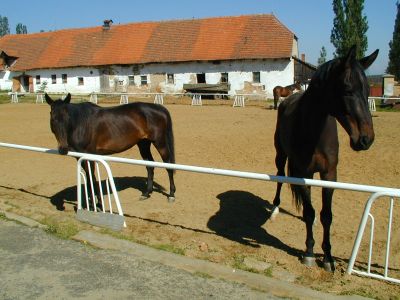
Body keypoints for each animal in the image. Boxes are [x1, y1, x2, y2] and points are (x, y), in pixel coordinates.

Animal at [44, 95, 176, 205]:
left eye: (67, 117)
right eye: (53, 119)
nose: (63, 149)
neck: (81, 123)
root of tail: (159, 108)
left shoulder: (90, 155)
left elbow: (92, 178)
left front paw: (98, 203)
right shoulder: (80, 157)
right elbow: (88, 178)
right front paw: (91, 202)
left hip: (159, 142)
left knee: (168, 165)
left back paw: (171, 195)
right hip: (143, 143)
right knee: (149, 166)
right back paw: (146, 193)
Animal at [270, 45, 380, 274]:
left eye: (367, 91)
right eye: (347, 90)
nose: (366, 139)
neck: (314, 131)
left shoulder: (329, 174)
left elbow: (326, 215)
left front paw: (328, 258)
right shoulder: (303, 174)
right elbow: (310, 213)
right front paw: (310, 253)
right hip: (281, 155)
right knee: (279, 177)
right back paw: (275, 209)